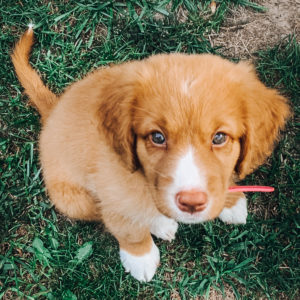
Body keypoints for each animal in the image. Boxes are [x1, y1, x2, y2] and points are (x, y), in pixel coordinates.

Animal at [11, 27, 290, 282]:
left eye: (219, 137)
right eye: (157, 137)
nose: (191, 203)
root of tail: (54, 109)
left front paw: (230, 203)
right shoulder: (114, 197)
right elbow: (130, 231)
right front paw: (141, 258)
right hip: (74, 200)